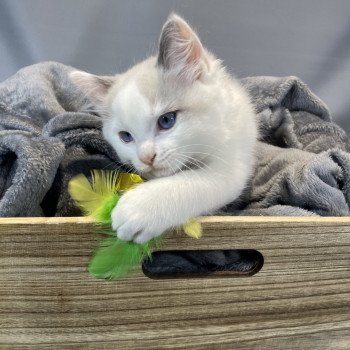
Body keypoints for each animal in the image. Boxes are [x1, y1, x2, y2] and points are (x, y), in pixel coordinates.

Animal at [70, 14, 258, 243]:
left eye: (167, 120)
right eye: (125, 136)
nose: (146, 158)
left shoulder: (230, 164)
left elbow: (194, 182)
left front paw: (141, 207)